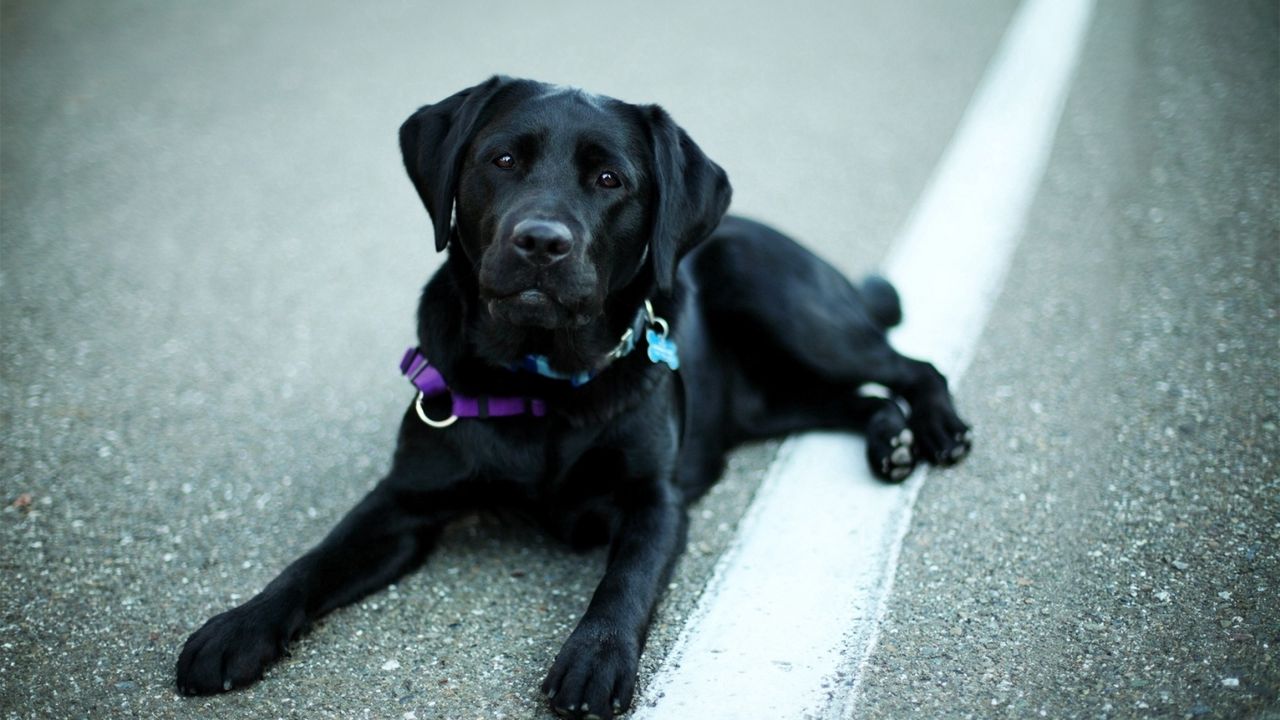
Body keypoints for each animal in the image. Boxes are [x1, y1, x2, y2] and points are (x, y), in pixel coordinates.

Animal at [172, 75, 967, 712]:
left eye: (611, 180)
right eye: (502, 160)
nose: (541, 242)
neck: (539, 379)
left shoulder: (656, 501)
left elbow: (625, 582)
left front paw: (594, 659)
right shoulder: (402, 501)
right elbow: (315, 558)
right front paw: (238, 627)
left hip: (784, 302)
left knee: (911, 366)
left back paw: (935, 429)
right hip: (769, 397)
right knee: (855, 399)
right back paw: (891, 440)